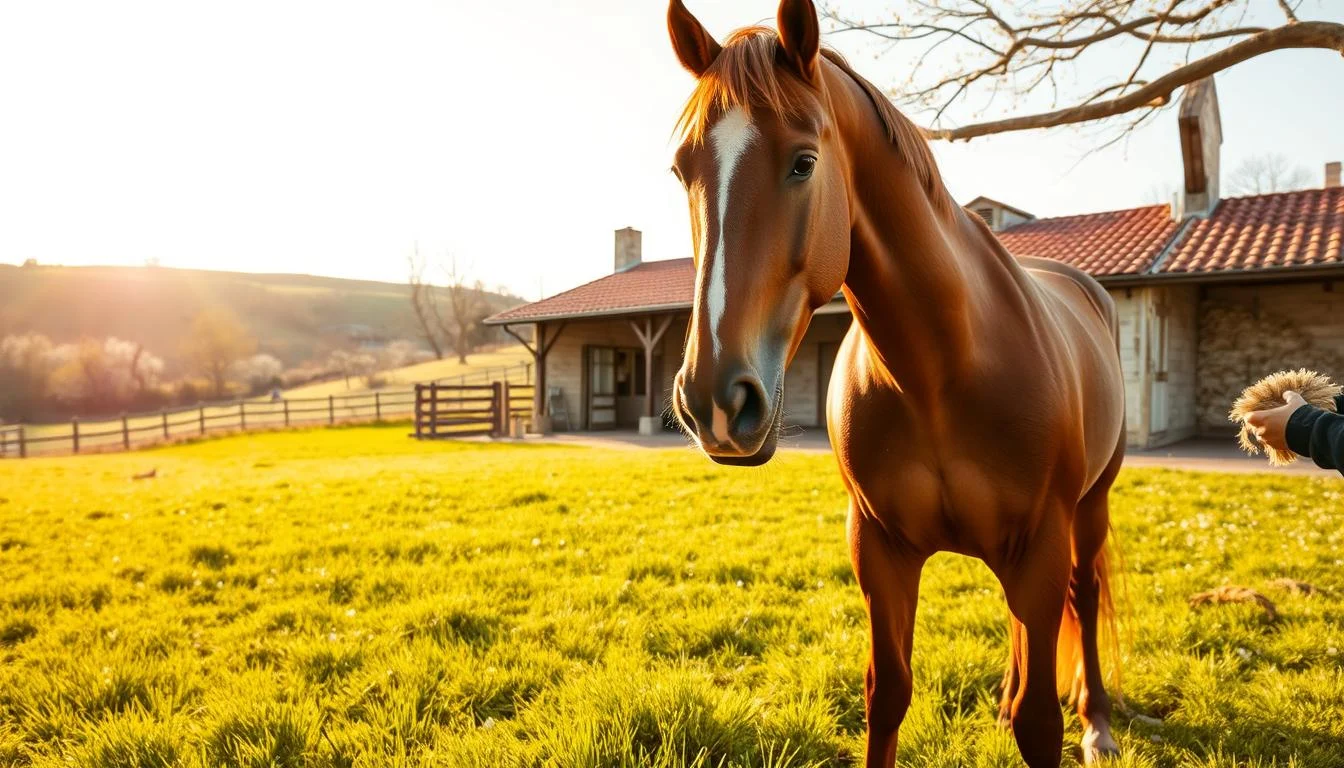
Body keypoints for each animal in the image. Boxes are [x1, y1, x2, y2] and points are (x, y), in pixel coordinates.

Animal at [664, 1, 1126, 766]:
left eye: (803, 162)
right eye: (681, 171)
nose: (715, 401)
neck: (942, 367)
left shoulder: (1040, 544)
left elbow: (1039, 721)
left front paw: (1056, 719)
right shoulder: (879, 548)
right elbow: (887, 694)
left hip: (1089, 510)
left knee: (1082, 598)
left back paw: (1098, 722)